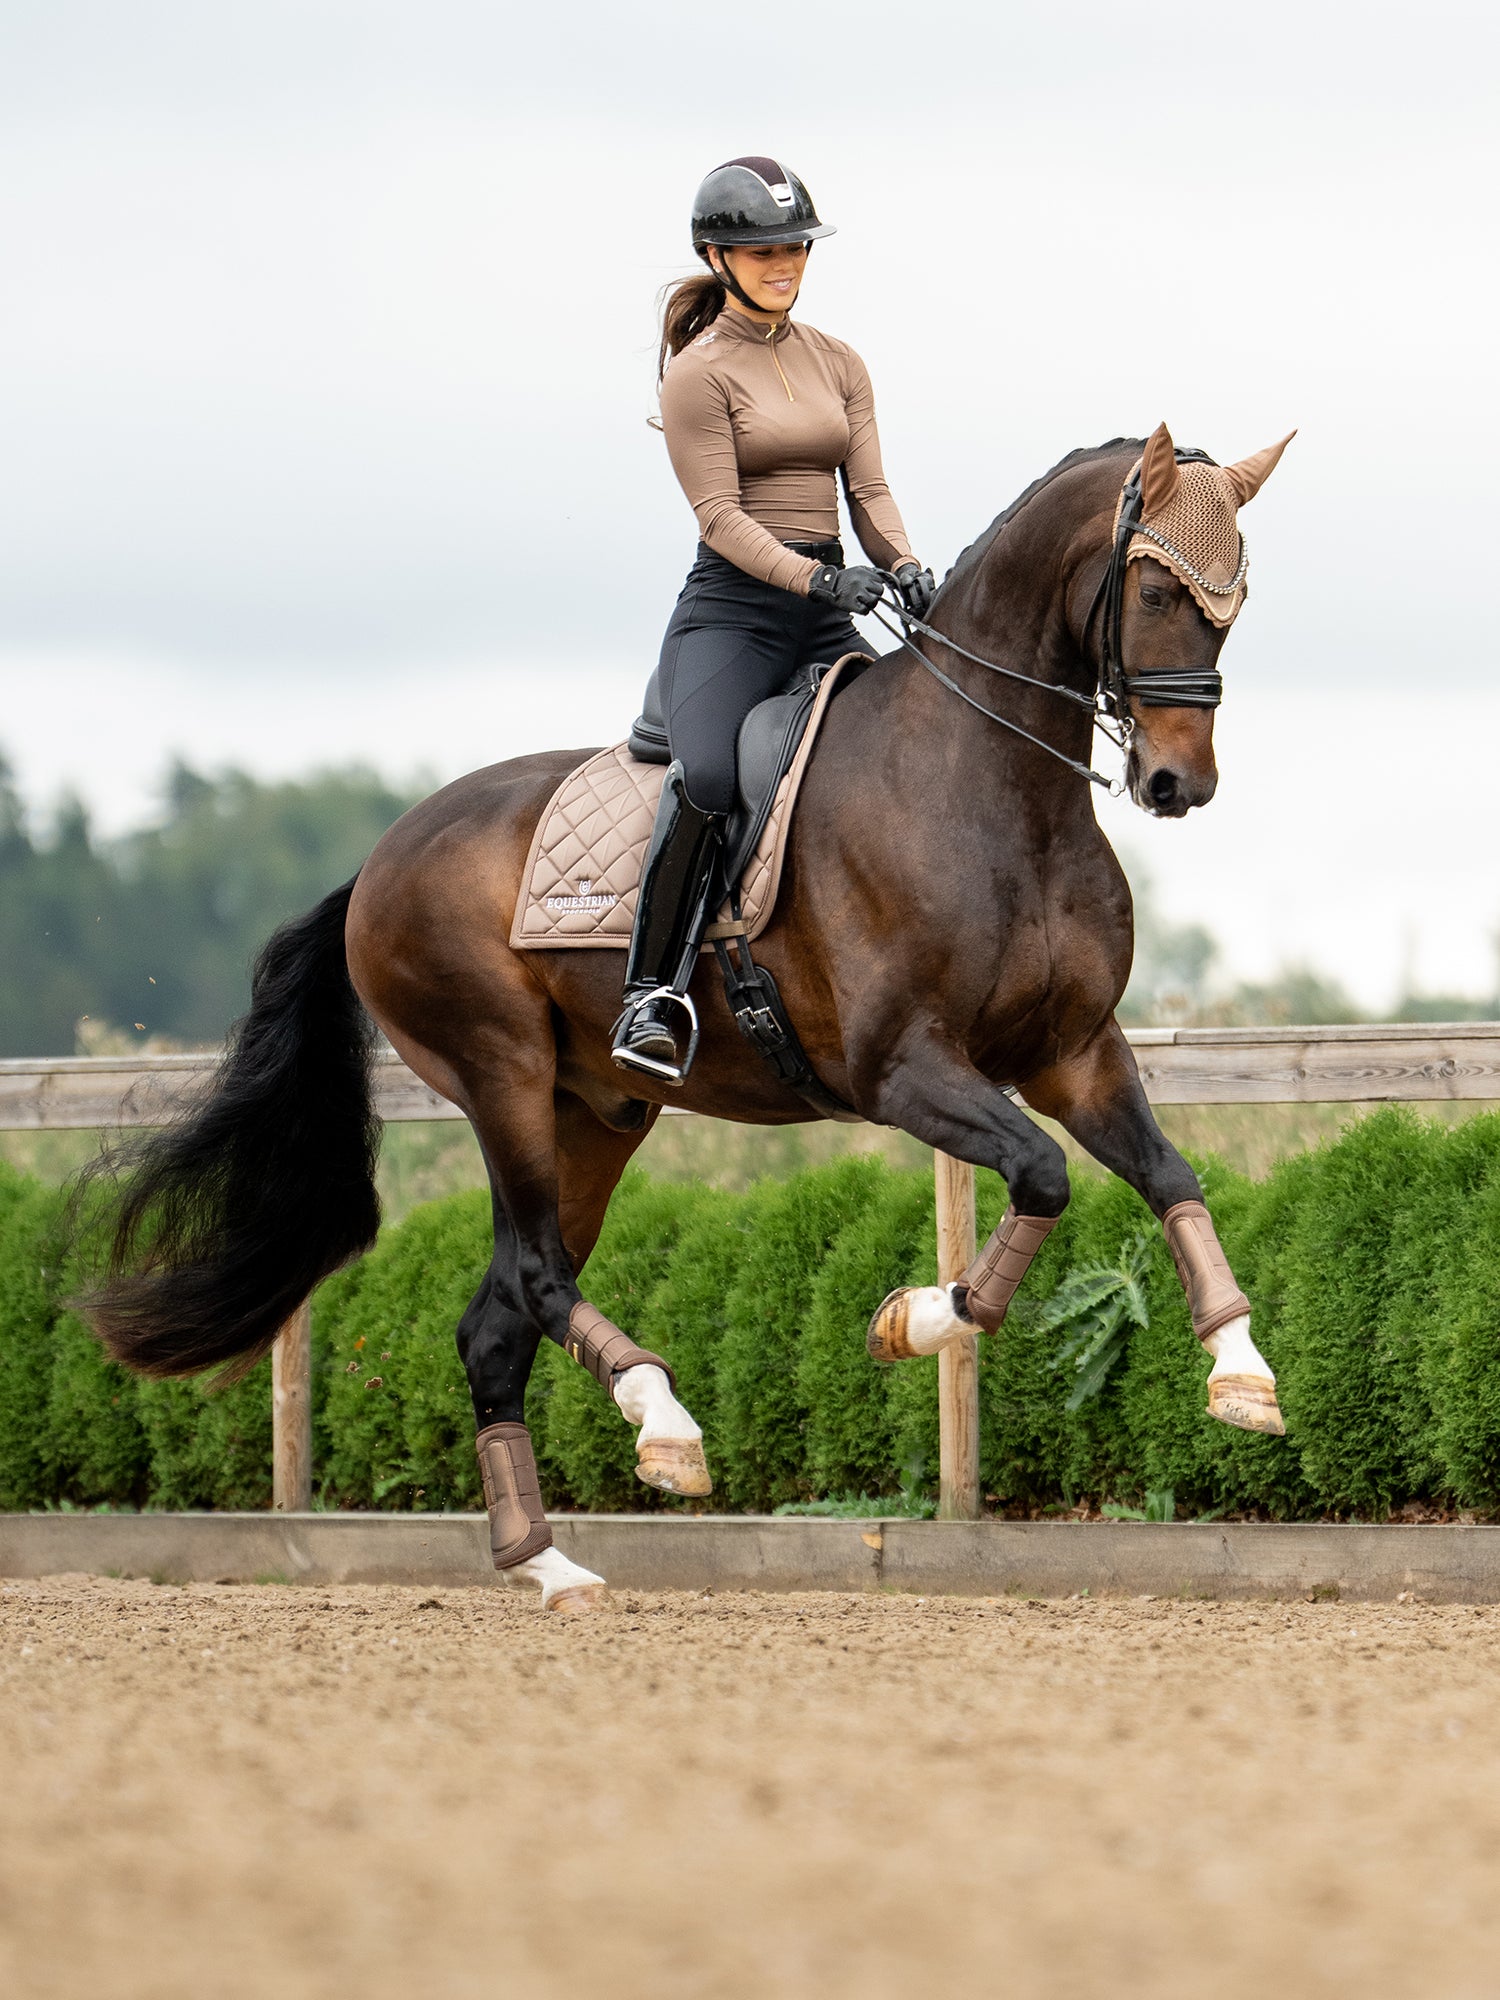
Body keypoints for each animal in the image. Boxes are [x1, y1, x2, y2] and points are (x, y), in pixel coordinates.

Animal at [83, 421, 1293, 1611]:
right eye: (1155, 589)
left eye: (1234, 596)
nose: (1179, 783)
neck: (991, 787)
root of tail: (380, 859)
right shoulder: (902, 1070)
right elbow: (1042, 1173)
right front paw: (916, 1318)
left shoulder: (1072, 1055)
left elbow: (1168, 1173)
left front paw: (1242, 1370)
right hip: (502, 1075)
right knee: (537, 1276)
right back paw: (661, 1420)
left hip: (597, 1114)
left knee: (494, 1324)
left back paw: (550, 1563)